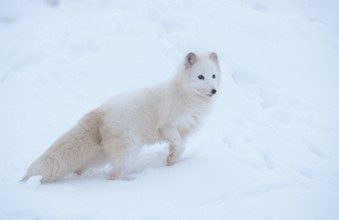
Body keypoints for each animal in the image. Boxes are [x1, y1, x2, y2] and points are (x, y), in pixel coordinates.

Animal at [22, 51, 222, 182]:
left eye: (213, 75)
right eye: (200, 77)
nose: (214, 91)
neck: (184, 95)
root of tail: (102, 110)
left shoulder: (183, 130)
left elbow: (179, 148)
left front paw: (171, 162)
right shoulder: (167, 126)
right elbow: (180, 145)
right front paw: (172, 160)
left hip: (101, 156)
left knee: (79, 168)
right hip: (128, 151)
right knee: (113, 175)